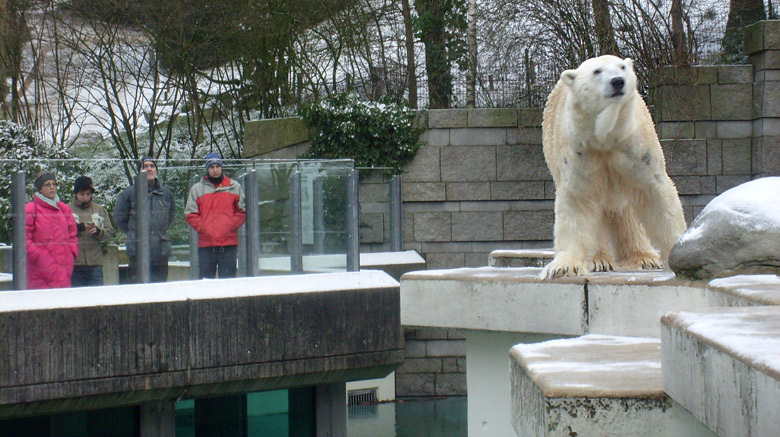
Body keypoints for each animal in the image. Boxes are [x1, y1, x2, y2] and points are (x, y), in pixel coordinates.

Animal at [540, 56, 684, 278]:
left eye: (622, 67)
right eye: (597, 71)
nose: (618, 81)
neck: (606, 139)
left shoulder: (635, 148)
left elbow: (657, 195)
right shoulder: (580, 154)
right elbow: (577, 203)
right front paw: (564, 267)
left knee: (626, 212)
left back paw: (644, 258)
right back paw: (599, 260)